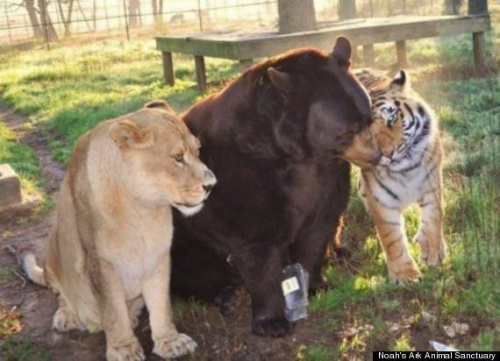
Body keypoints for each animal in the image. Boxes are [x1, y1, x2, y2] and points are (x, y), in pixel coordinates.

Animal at [354, 69, 448, 282]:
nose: (387, 154)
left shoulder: (432, 183)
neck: (405, 170)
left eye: (390, 119)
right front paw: (405, 275)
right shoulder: (382, 200)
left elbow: (434, 217)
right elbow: (392, 238)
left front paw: (432, 252)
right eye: (365, 134)